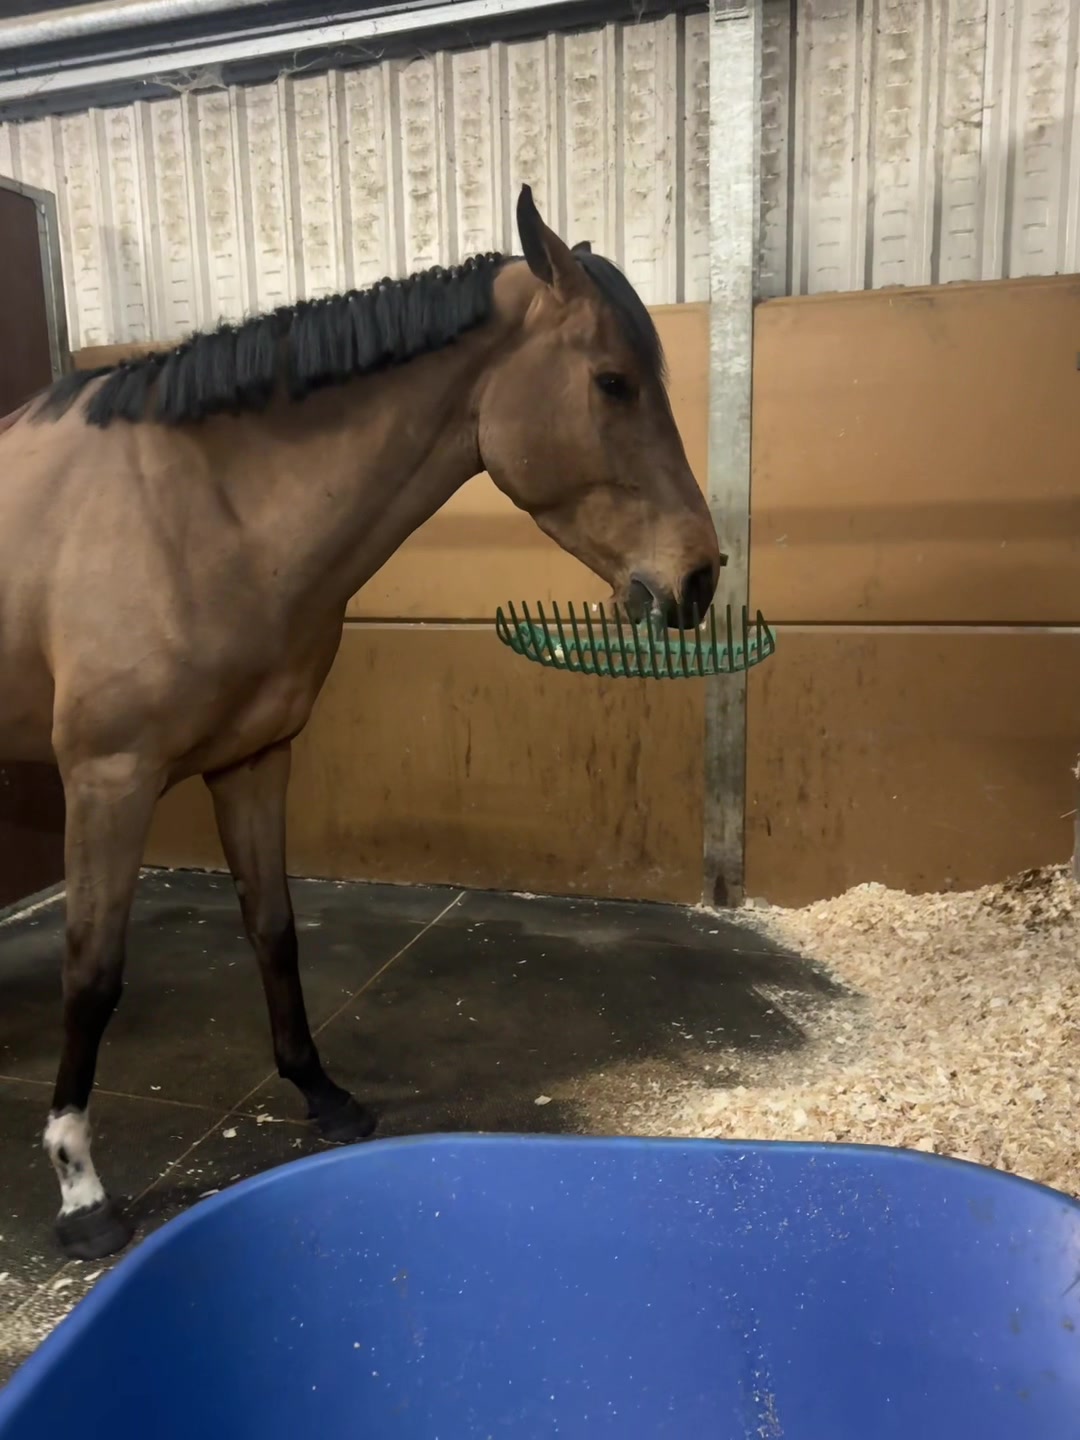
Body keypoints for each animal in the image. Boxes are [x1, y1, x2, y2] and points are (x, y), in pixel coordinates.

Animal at [0, 184, 723, 1261]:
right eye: (612, 382)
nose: (699, 577)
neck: (195, 510)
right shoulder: (108, 778)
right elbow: (93, 974)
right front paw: (79, 1186)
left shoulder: (256, 758)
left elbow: (274, 929)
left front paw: (322, 1093)